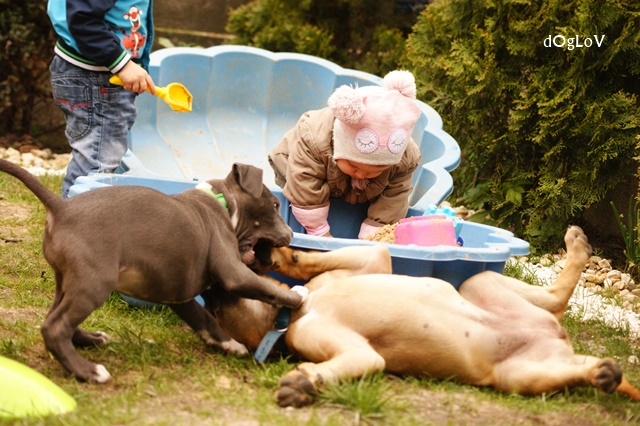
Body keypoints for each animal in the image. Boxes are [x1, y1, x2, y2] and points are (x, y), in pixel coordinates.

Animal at [0, 159, 303, 383]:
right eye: (275, 205)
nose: (290, 233)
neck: (223, 203)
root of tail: (61, 207)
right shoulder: (234, 274)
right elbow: (268, 289)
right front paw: (300, 297)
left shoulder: (179, 295)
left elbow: (205, 320)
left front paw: (229, 344)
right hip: (93, 283)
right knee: (55, 327)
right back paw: (88, 371)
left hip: (65, 280)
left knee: (55, 318)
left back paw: (91, 339)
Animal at [205, 226, 640, 407]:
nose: (209, 288)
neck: (296, 311)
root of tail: (560, 342)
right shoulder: (340, 347)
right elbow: (357, 361)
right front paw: (304, 384)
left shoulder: (369, 262)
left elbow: (307, 260)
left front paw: (277, 255)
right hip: (521, 375)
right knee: (564, 342)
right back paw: (602, 374)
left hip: (481, 284)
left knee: (555, 298)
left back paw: (578, 247)